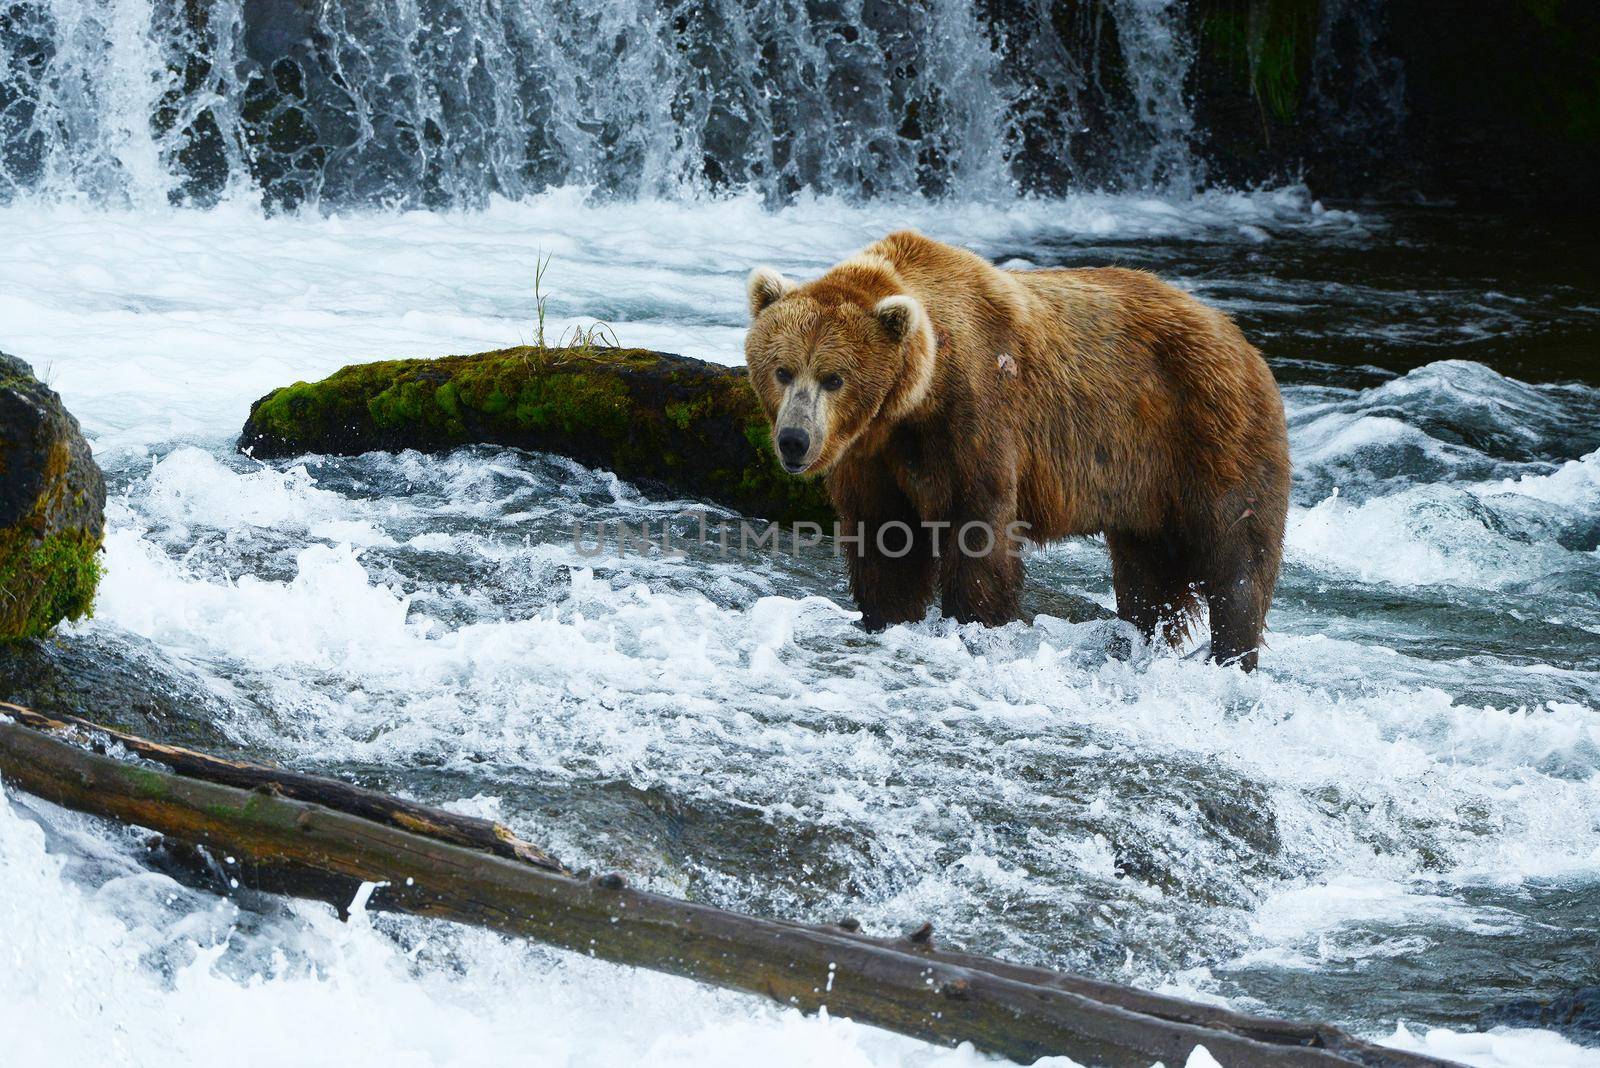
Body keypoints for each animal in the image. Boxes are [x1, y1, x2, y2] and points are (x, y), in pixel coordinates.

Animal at [742, 231, 1292, 668]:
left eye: (834, 377)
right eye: (783, 370)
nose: (794, 439)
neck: (915, 401)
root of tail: (1244, 342)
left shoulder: (975, 415)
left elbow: (979, 530)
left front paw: (976, 622)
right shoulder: (873, 458)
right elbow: (885, 538)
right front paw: (885, 616)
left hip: (1211, 434)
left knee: (1237, 561)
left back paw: (1231, 657)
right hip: (1145, 487)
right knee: (1147, 578)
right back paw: (1139, 642)